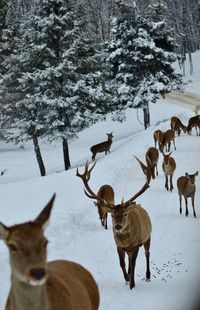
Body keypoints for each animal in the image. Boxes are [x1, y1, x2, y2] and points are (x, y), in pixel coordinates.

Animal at [76, 161, 151, 290]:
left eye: (125, 214)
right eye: (112, 215)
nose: (117, 226)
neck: (126, 242)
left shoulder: (136, 245)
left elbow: (134, 264)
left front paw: (132, 284)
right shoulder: (119, 246)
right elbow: (122, 263)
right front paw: (126, 278)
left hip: (148, 237)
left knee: (147, 254)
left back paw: (148, 275)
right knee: (129, 259)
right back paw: (130, 273)